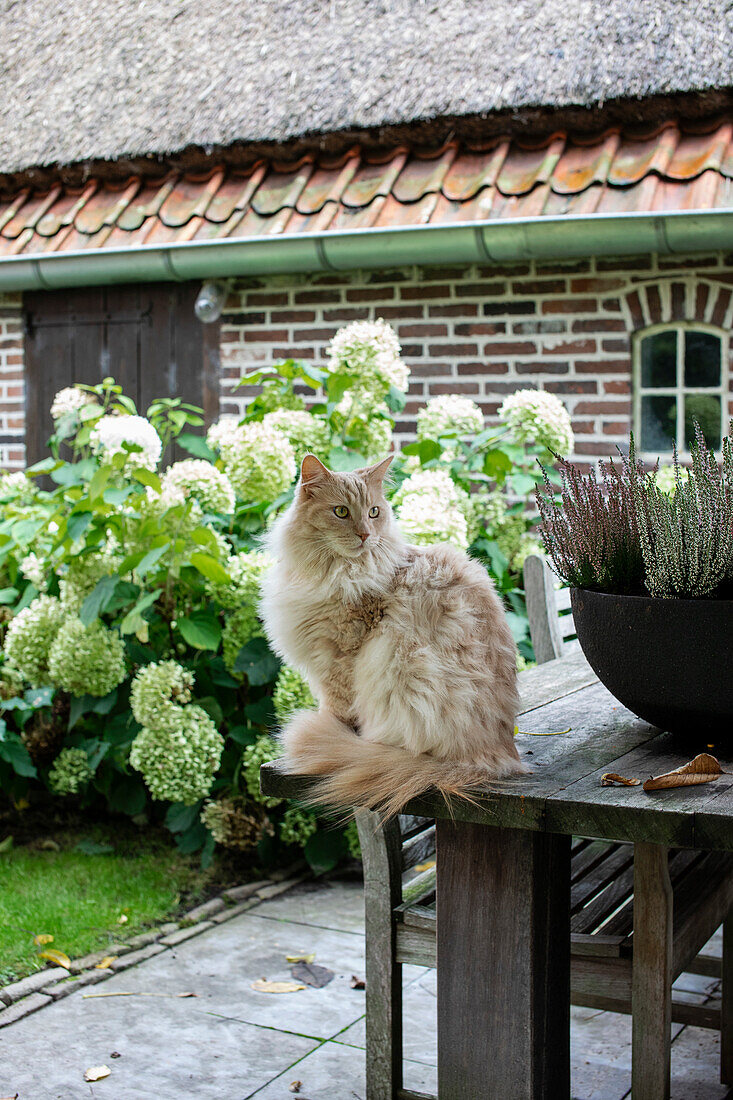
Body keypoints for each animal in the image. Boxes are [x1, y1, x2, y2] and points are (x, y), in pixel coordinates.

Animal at [259, 451, 521, 822]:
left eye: (373, 512)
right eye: (341, 512)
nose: (365, 535)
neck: (333, 571)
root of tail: (494, 758)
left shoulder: (340, 656)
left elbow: (338, 707)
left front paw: (335, 729)